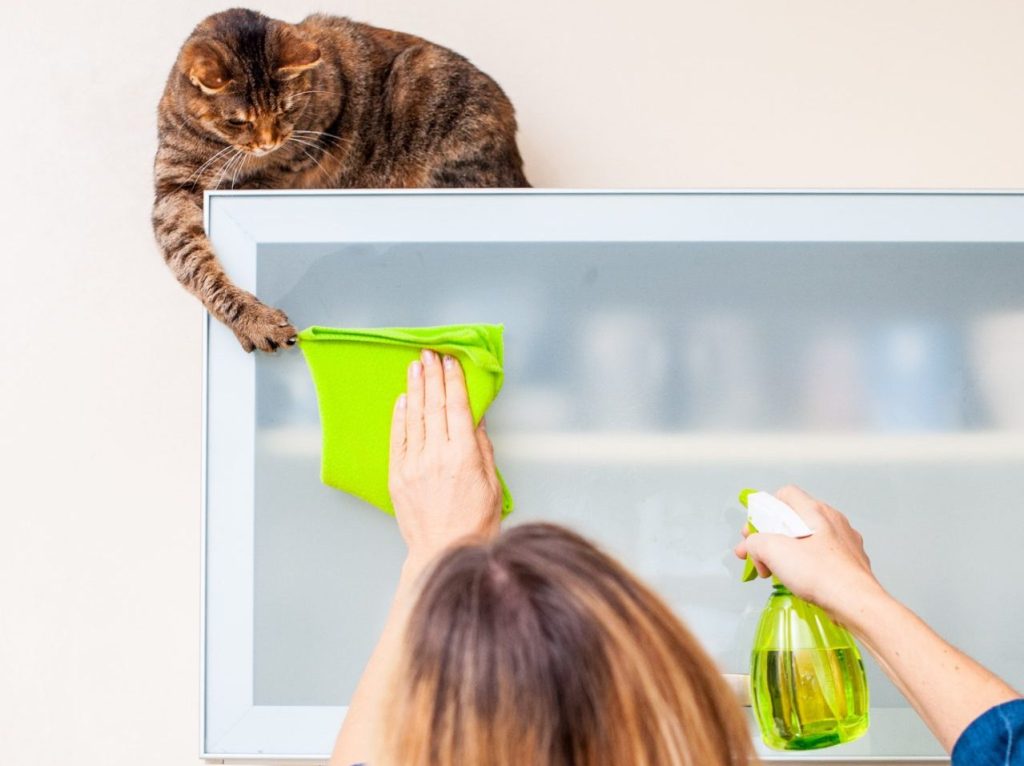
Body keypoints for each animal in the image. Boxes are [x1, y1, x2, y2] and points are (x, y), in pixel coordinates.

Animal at [155, 9, 532, 350]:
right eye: (238, 121)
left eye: (285, 111)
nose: (268, 142)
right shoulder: (172, 193)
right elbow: (194, 263)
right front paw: (253, 320)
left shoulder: (316, 128)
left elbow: (274, 171)